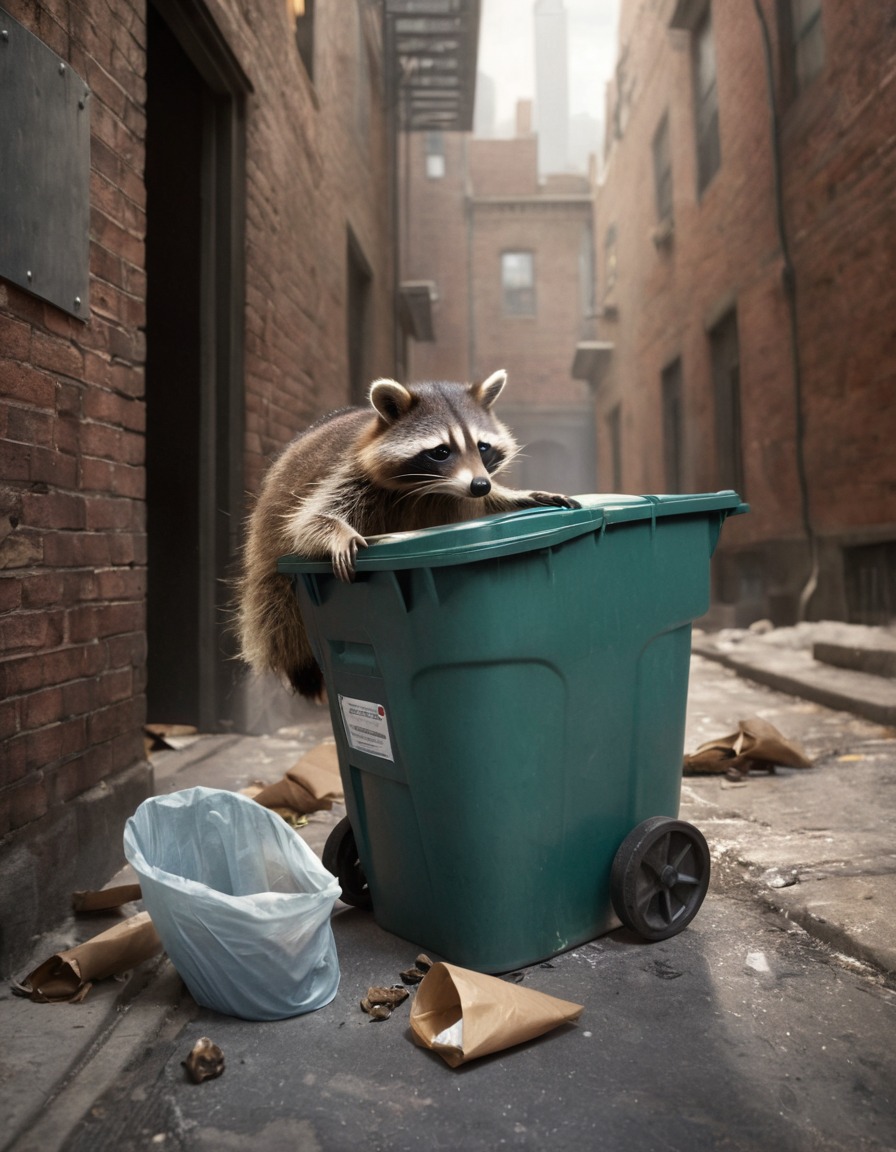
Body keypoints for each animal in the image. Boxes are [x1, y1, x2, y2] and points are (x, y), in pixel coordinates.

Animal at [233, 368, 575, 695]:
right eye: (441, 451)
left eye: (483, 447)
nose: (480, 484)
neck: (431, 490)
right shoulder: (349, 474)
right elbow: (307, 521)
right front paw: (339, 533)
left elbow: (488, 504)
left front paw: (516, 496)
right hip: (270, 570)